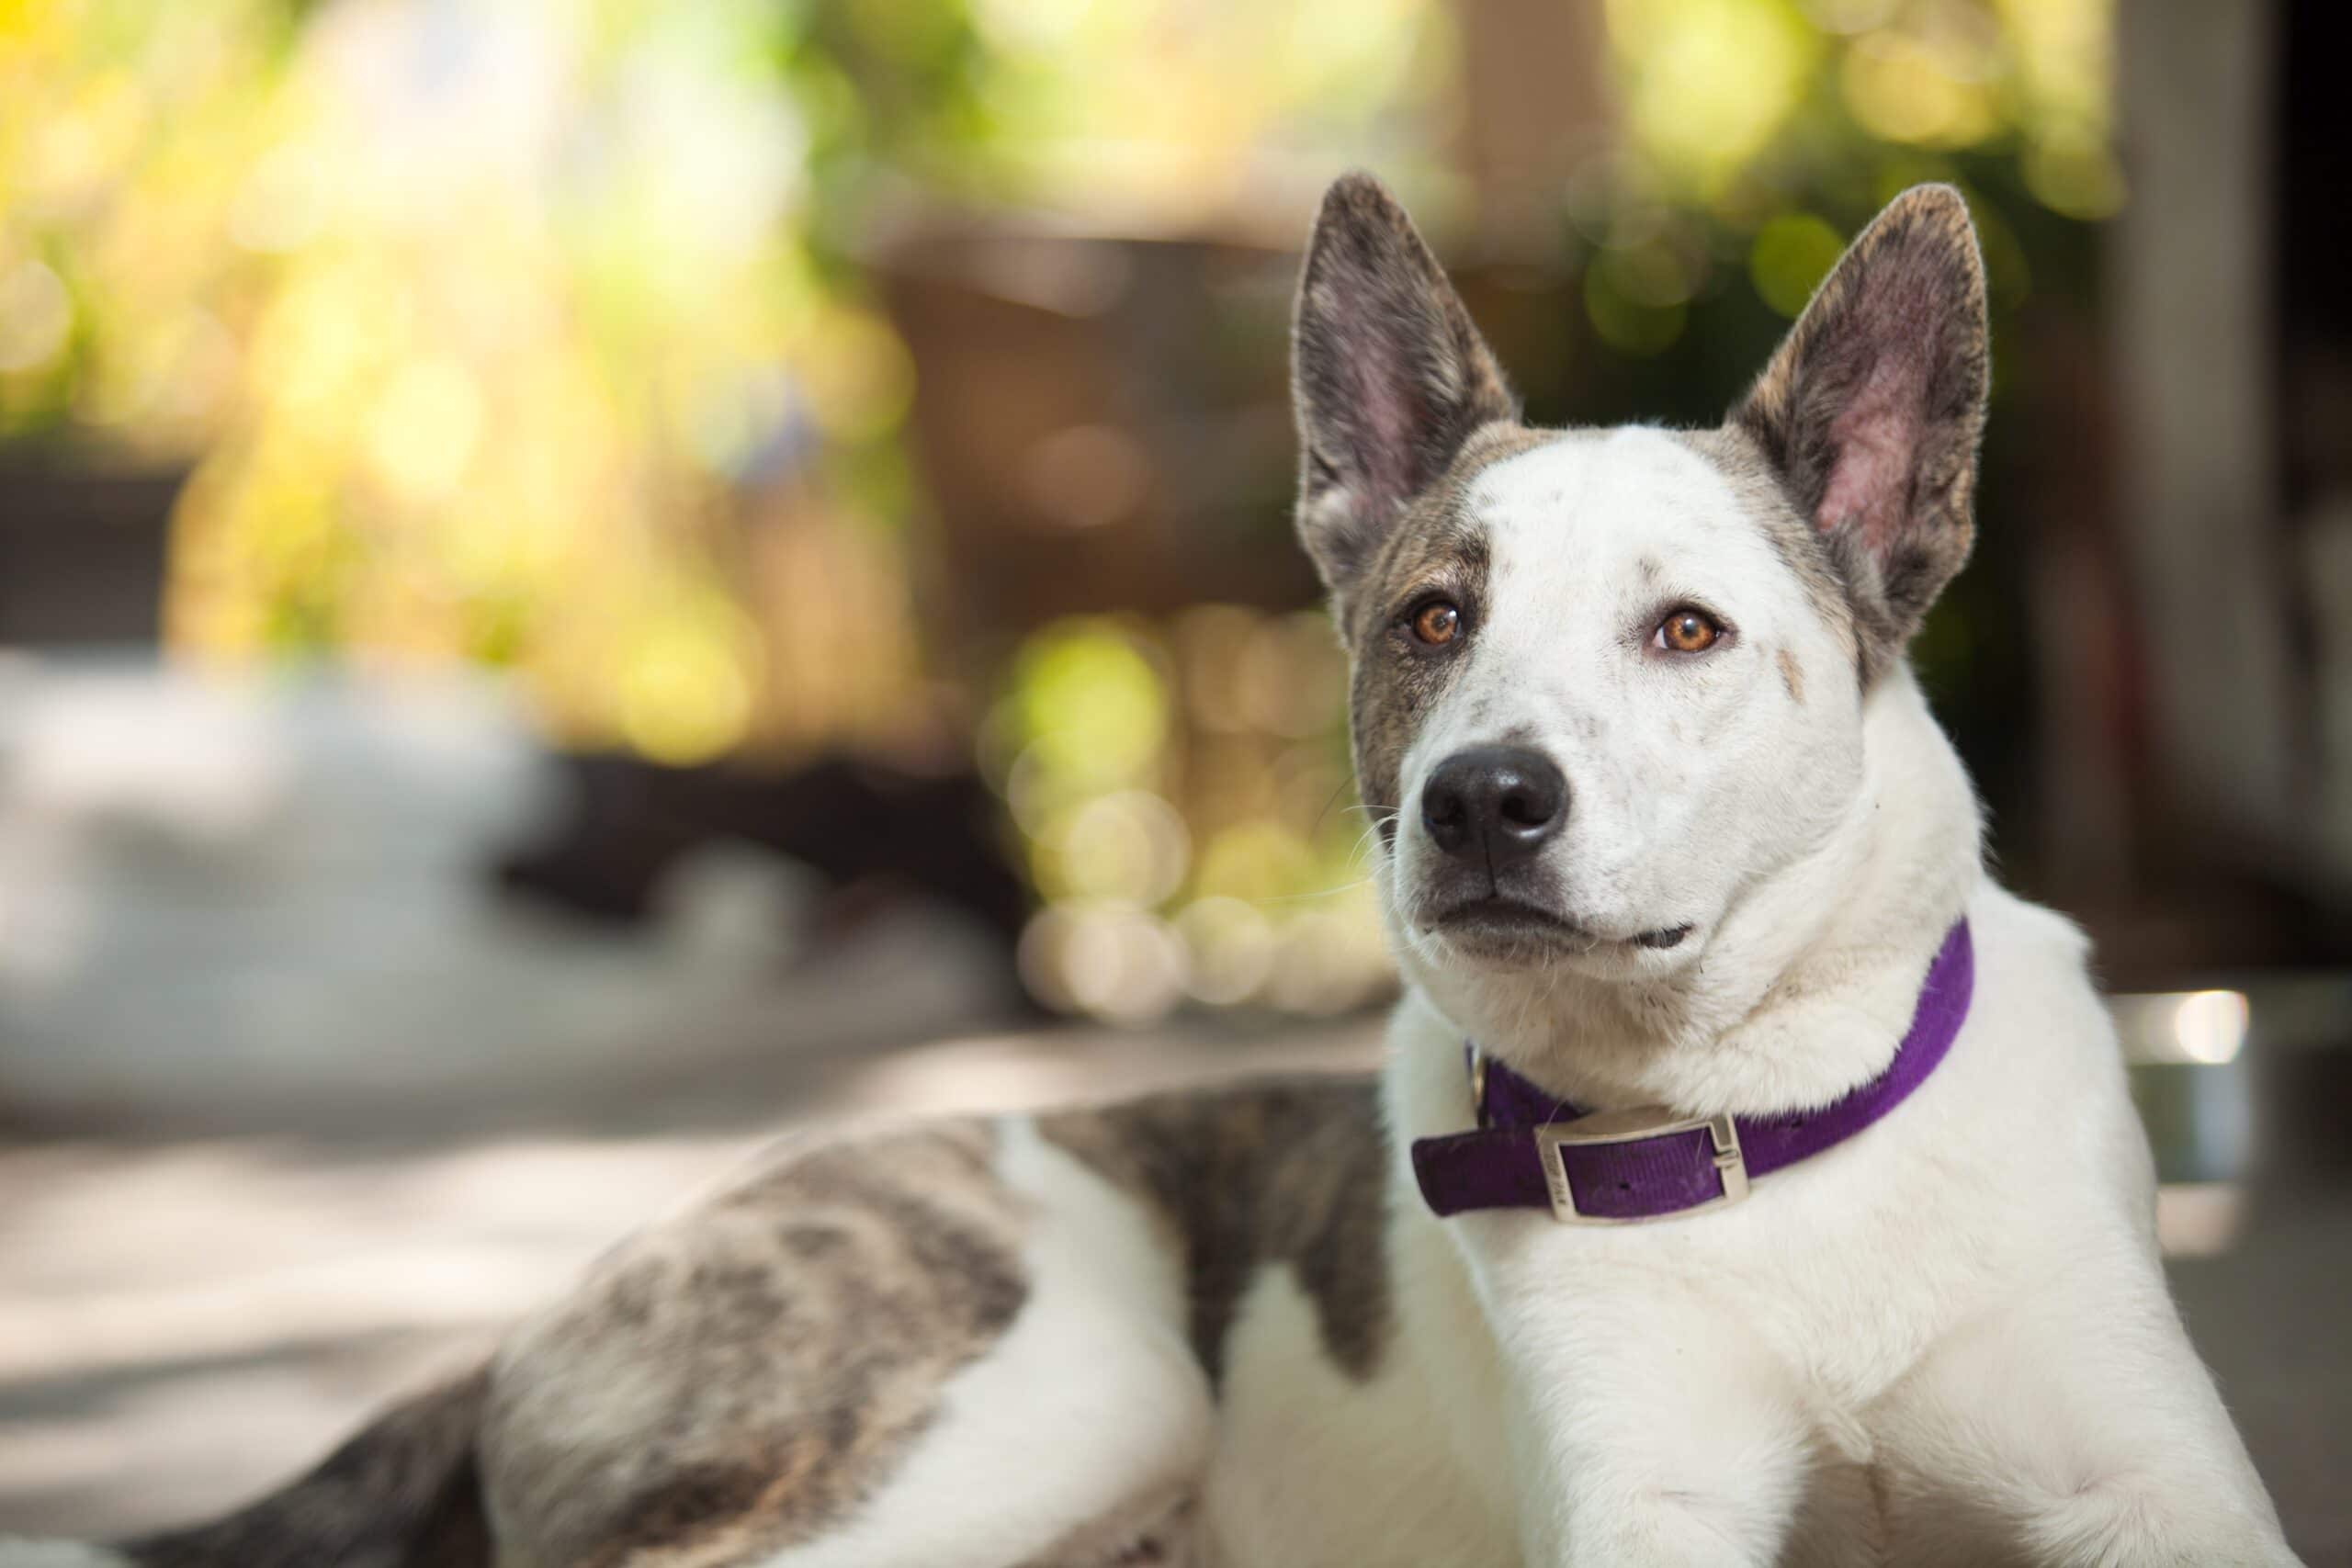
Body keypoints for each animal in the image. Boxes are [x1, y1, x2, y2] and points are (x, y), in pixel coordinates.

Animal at [0, 175, 2304, 1568]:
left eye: (1683, 629)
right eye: (1431, 618)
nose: (1480, 800)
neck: (1761, 1128)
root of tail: (562, 1294)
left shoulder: (2159, 1491)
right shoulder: (1645, 1511)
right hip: (1053, 1383)